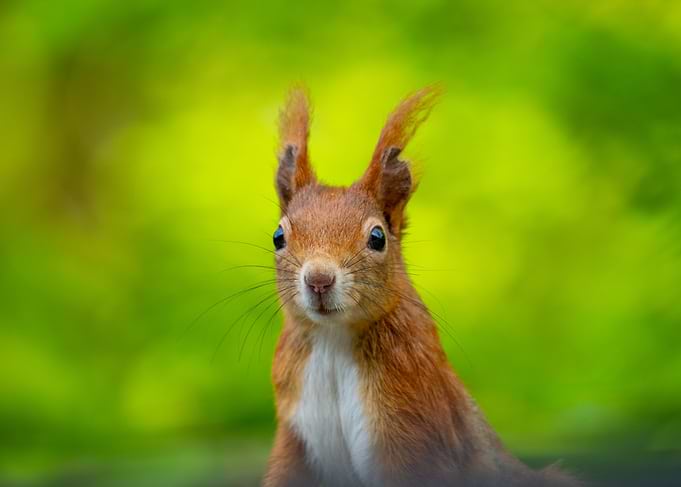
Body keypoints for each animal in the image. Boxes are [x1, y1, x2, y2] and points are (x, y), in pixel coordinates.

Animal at [262, 86, 582, 487]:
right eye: (278, 237)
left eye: (377, 237)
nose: (319, 279)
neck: (332, 337)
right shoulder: (295, 433)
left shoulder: (412, 425)